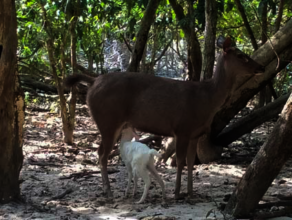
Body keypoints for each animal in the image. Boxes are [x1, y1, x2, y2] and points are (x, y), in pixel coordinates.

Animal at [64, 37, 264, 199]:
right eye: (241, 56)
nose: (261, 67)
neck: (208, 100)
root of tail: (93, 82)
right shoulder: (183, 127)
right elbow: (180, 161)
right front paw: (177, 193)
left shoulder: (195, 133)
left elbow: (191, 162)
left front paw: (191, 192)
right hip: (108, 119)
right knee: (102, 154)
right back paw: (108, 191)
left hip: (109, 121)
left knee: (101, 152)